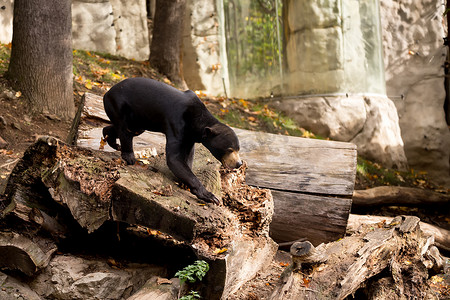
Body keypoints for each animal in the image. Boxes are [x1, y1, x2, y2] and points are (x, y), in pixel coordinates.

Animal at [102, 77, 243, 205]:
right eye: (229, 149)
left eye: (238, 149)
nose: (239, 163)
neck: (196, 121)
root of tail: (107, 92)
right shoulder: (176, 124)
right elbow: (174, 158)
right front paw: (210, 196)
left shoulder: (189, 136)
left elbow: (188, 156)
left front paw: (184, 182)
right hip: (119, 104)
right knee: (124, 128)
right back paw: (129, 156)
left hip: (139, 118)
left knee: (128, 129)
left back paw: (110, 139)